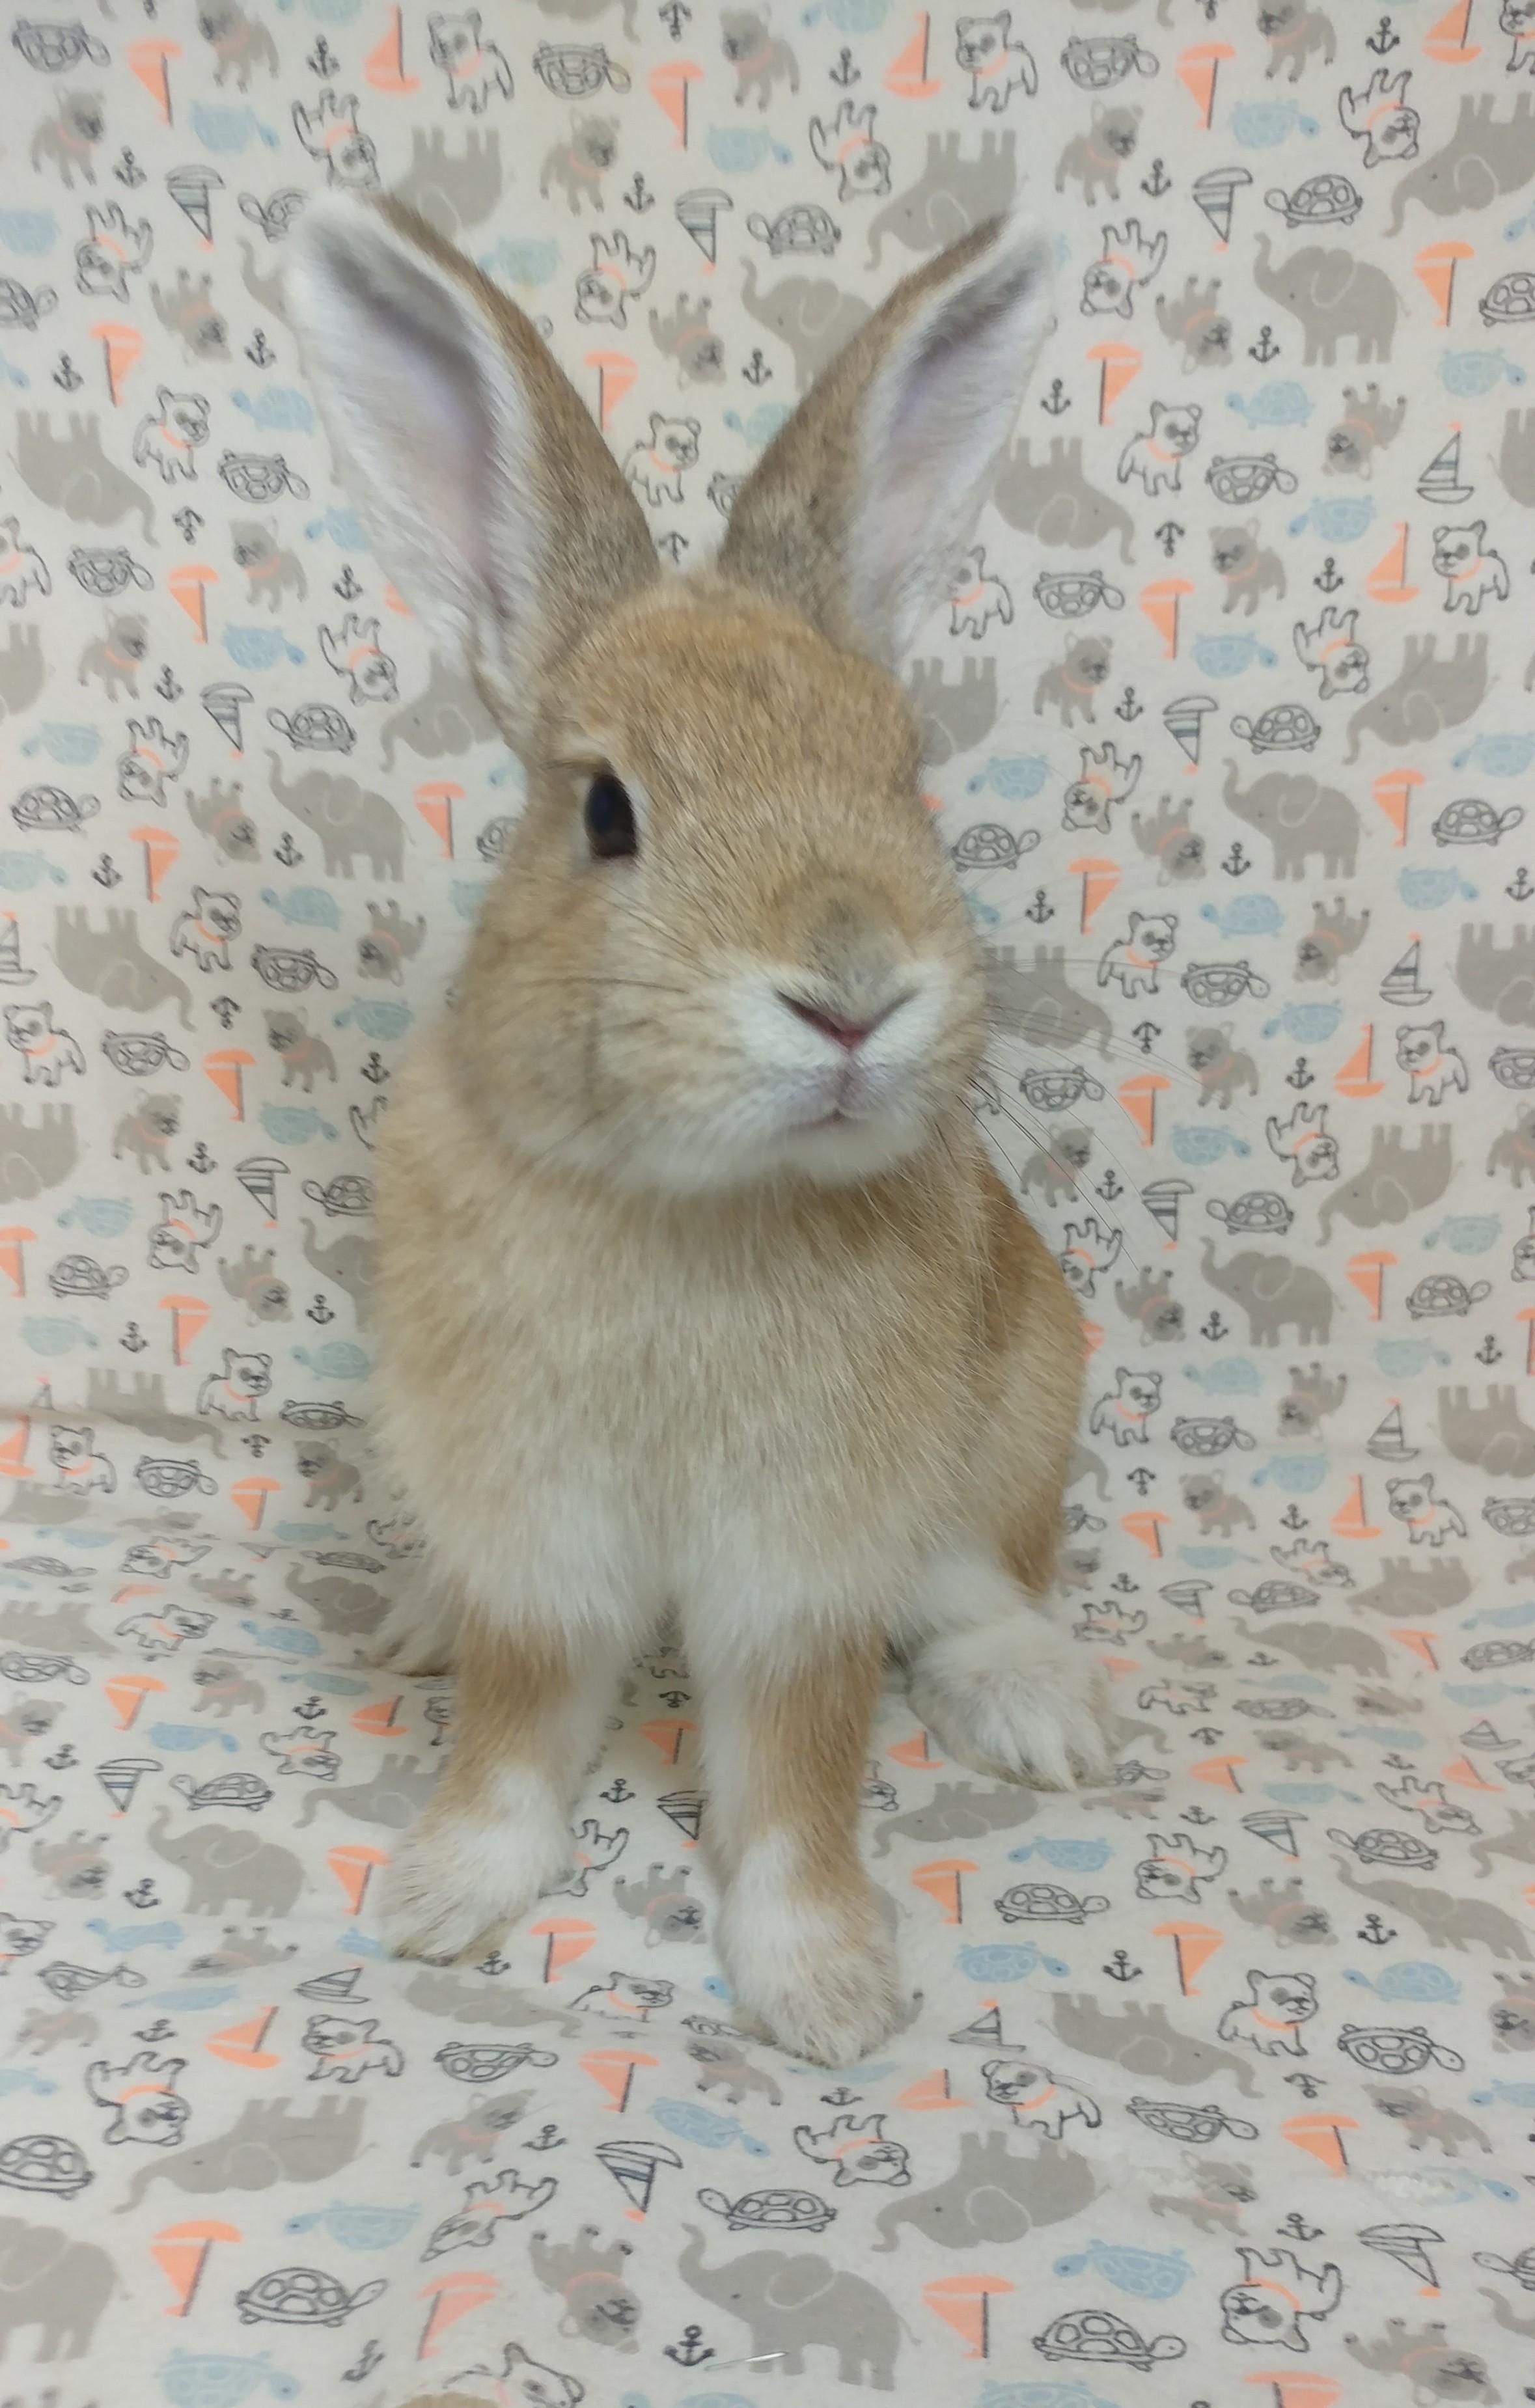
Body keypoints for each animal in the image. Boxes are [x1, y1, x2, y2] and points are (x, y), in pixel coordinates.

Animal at [284, 192, 1105, 2066]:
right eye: (606, 811)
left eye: (901, 775)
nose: (852, 993)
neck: (688, 1197)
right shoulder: (533, 1516)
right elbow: (518, 1715)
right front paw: (445, 1893)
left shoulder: (805, 1557)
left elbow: (799, 1766)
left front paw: (825, 1985)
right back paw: (413, 1615)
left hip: (1019, 1402)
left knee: (988, 1583)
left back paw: (1038, 1711)